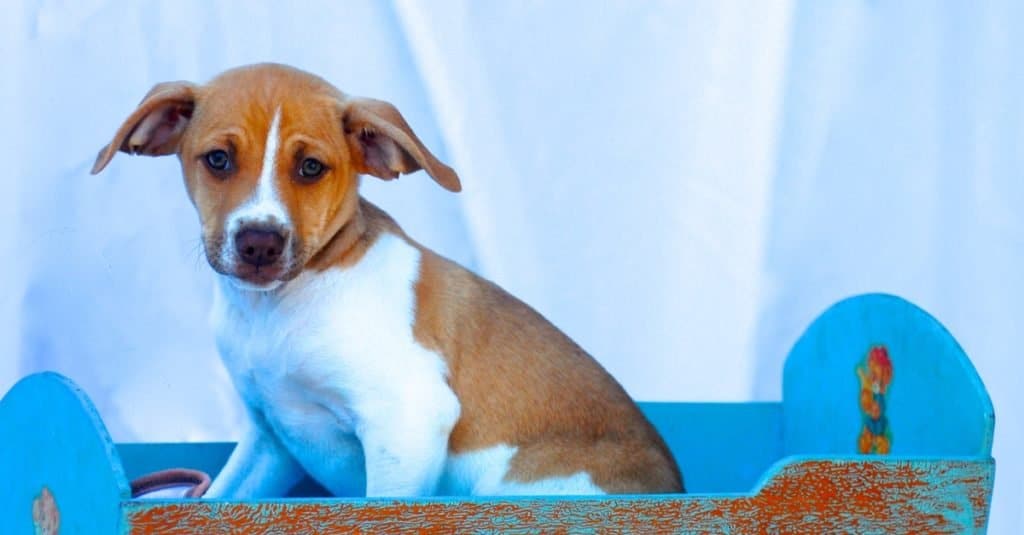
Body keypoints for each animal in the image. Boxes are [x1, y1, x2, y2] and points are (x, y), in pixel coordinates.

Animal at [92, 64, 684, 498]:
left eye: (311, 168)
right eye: (217, 159)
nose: (259, 243)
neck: (279, 308)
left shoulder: (408, 419)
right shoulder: (270, 440)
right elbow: (217, 497)